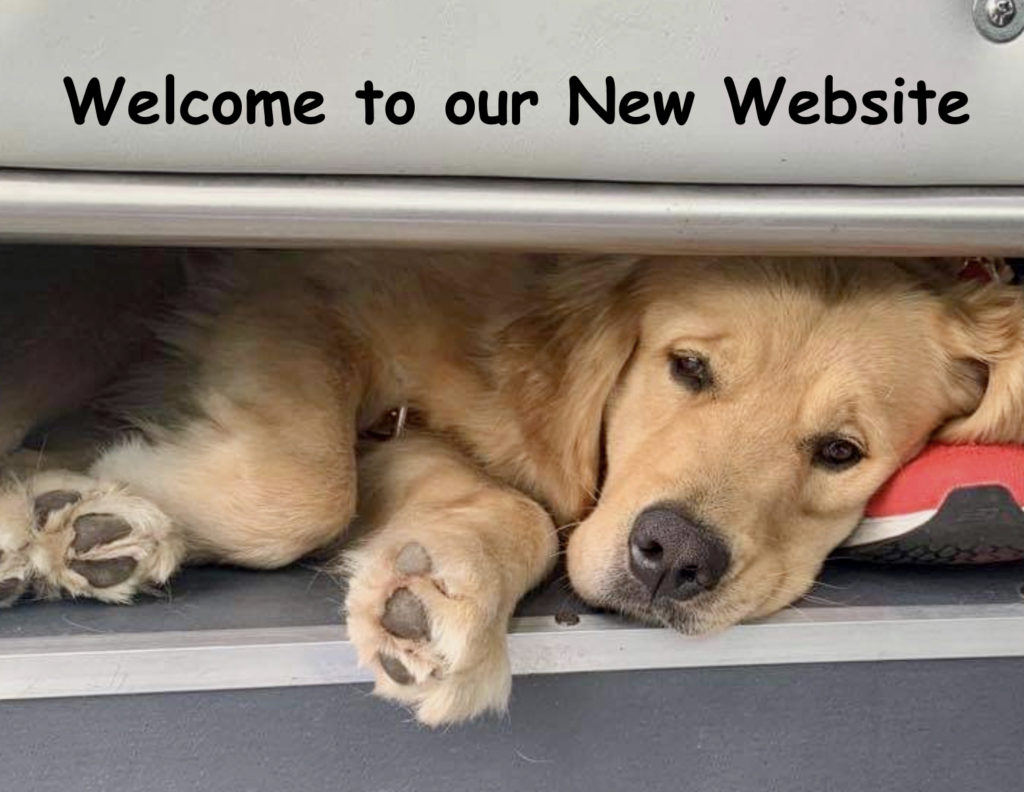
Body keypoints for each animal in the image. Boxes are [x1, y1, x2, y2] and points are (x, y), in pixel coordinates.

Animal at [0, 248, 1019, 721]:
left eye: (841, 451)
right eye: (687, 367)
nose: (672, 560)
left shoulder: (401, 432)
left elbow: (508, 511)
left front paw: (435, 593)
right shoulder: (289, 289)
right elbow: (303, 487)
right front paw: (84, 499)